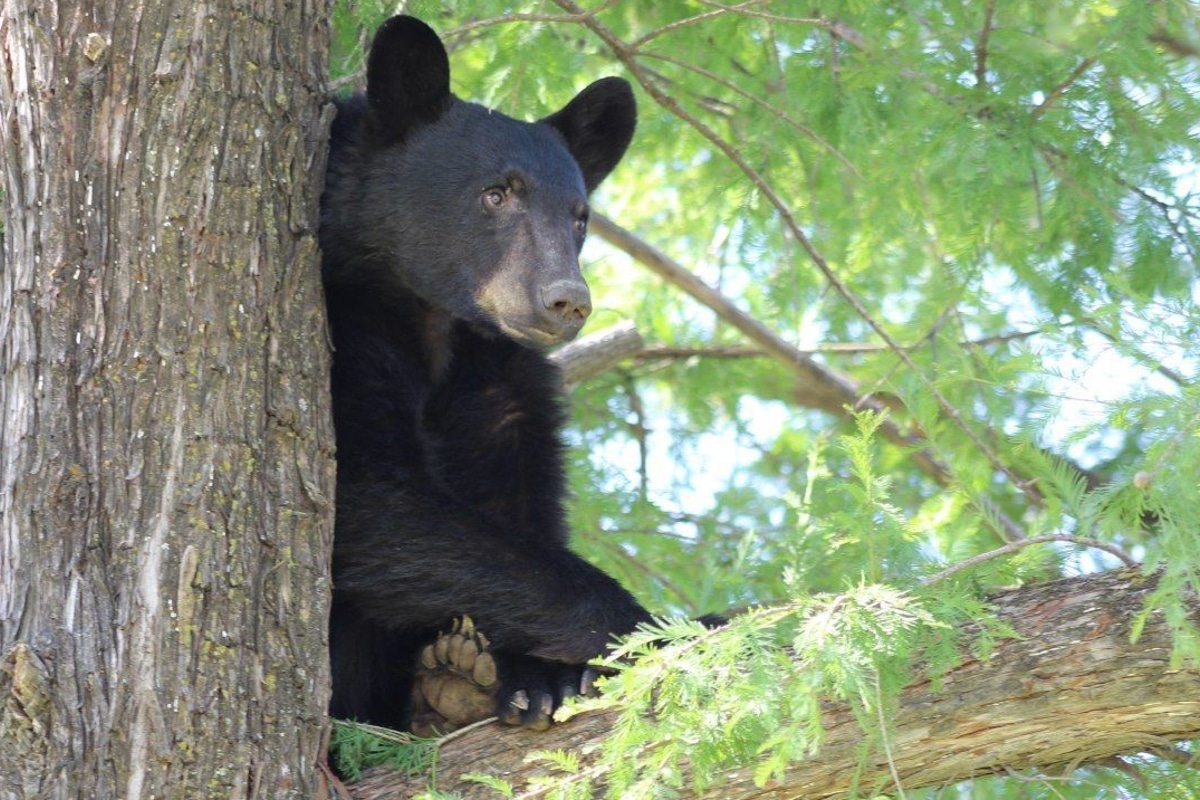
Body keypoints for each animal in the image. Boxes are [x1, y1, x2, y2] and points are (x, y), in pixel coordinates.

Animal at [319, 14, 655, 732]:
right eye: (496, 193)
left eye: (579, 217)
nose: (566, 300)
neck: (436, 323)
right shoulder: (345, 326)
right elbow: (369, 493)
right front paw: (646, 629)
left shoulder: (498, 377)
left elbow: (516, 496)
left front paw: (539, 676)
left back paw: (450, 682)